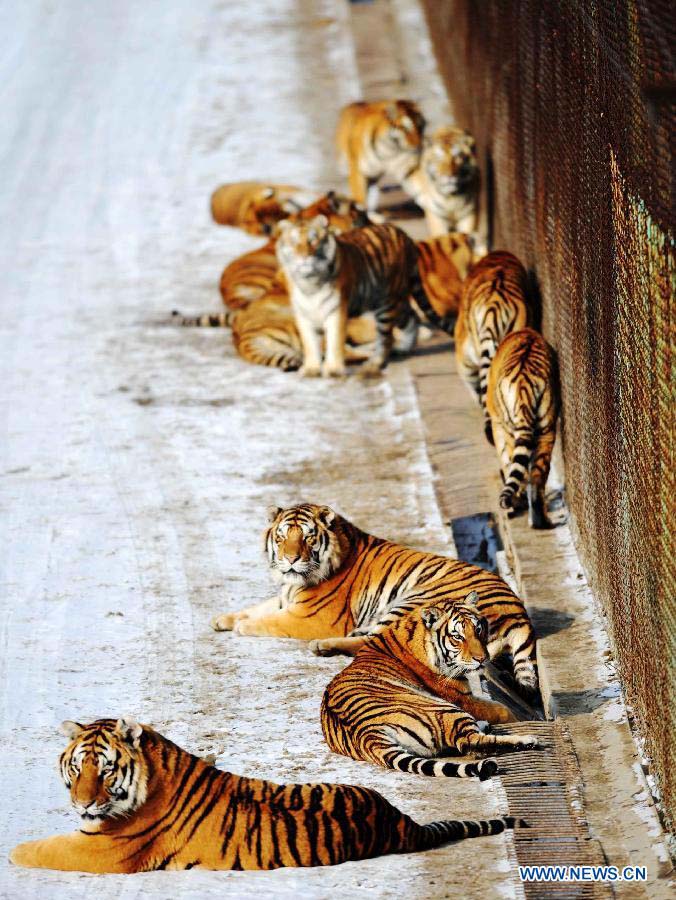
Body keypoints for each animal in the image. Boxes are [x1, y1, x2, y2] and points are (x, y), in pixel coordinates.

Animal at [10, 716, 528, 872]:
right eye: (76, 768)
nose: (82, 803)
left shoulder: (103, 851)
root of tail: (402, 821)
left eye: (104, 769)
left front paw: (13, 853)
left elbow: (42, 848)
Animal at [211, 502, 540, 700]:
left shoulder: (310, 617)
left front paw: (241, 626)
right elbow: (259, 607)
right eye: (281, 537)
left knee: (374, 641)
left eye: (307, 537)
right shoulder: (286, 598)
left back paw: (322, 646)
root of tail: (520, 613)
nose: (289, 559)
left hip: (414, 599)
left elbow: (268, 620)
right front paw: (222, 619)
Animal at [320, 596, 540, 776]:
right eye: (457, 637)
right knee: (469, 742)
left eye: (478, 629)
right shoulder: (463, 699)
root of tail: (366, 734)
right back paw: (527, 740)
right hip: (445, 708)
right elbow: (503, 710)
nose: (482, 659)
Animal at [488, 328, 564, 528]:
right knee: (537, 479)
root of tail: (523, 385)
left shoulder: (497, 425)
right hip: (547, 431)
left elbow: (507, 464)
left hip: (510, 429)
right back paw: (541, 522)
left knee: (515, 468)